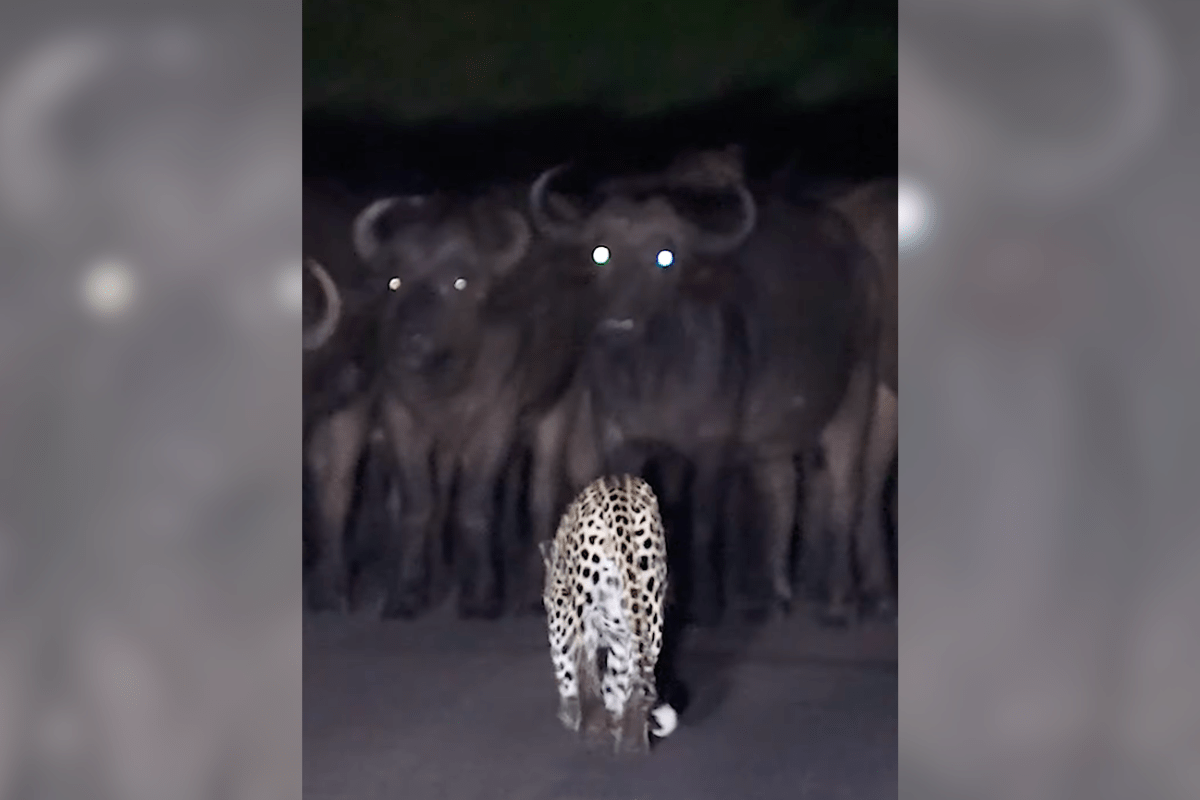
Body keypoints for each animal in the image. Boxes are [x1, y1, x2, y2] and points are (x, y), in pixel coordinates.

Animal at [353, 185, 595, 618]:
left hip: (559, 405)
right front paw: (407, 593)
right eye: (395, 282)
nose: (412, 340)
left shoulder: (495, 420)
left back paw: (530, 591)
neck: (445, 382)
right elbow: (419, 503)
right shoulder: (400, 415)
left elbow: (474, 504)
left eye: (460, 282)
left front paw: (481, 596)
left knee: (541, 494)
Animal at [525, 148, 882, 625]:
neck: (651, 377)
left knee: (845, 492)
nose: (618, 327)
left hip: (855, 398)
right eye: (601, 253)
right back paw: (777, 594)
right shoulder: (622, 440)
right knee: (781, 490)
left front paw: (709, 603)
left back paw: (841, 601)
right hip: (772, 434)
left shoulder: (713, 447)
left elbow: (704, 523)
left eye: (665, 256)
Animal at [539, 474, 678, 755]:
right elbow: (616, 678)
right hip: (650, 610)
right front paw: (614, 719)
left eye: (546, 600)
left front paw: (570, 715)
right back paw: (632, 746)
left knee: (585, 665)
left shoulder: (560, 616)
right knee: (638, 680)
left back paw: (594, 732)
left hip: (582, 610)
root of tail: (618, 493)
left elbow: (565, 664)